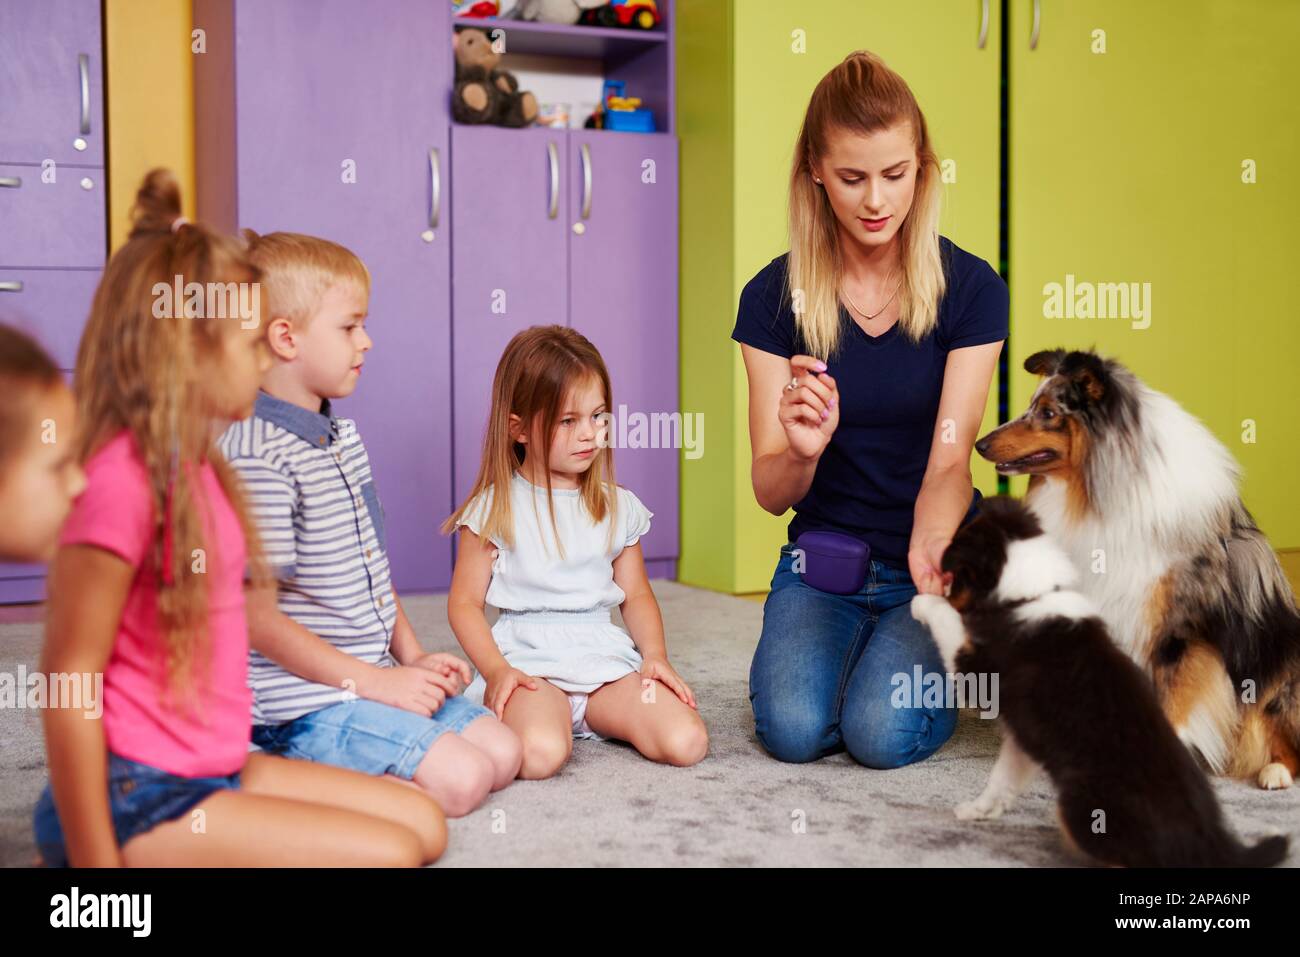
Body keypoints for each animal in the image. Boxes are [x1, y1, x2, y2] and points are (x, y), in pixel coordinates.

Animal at [909, 496, 1284, 868]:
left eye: (956, 579)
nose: (935, 581)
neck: (1032, 593)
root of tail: (1208, 843)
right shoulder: (1026, 736)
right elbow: (1003, 778)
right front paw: (978, 810)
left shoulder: (977, 669)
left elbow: (949, 620)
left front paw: (922, 602)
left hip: (1081, 809)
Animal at [977, 348, 1300, 790]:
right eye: (1030, 405)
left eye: (1047, 412)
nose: (980, 443)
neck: (1098, 492)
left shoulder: (1177, 631)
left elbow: (1172, 704)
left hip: (1279, 665)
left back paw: (1275, 771)